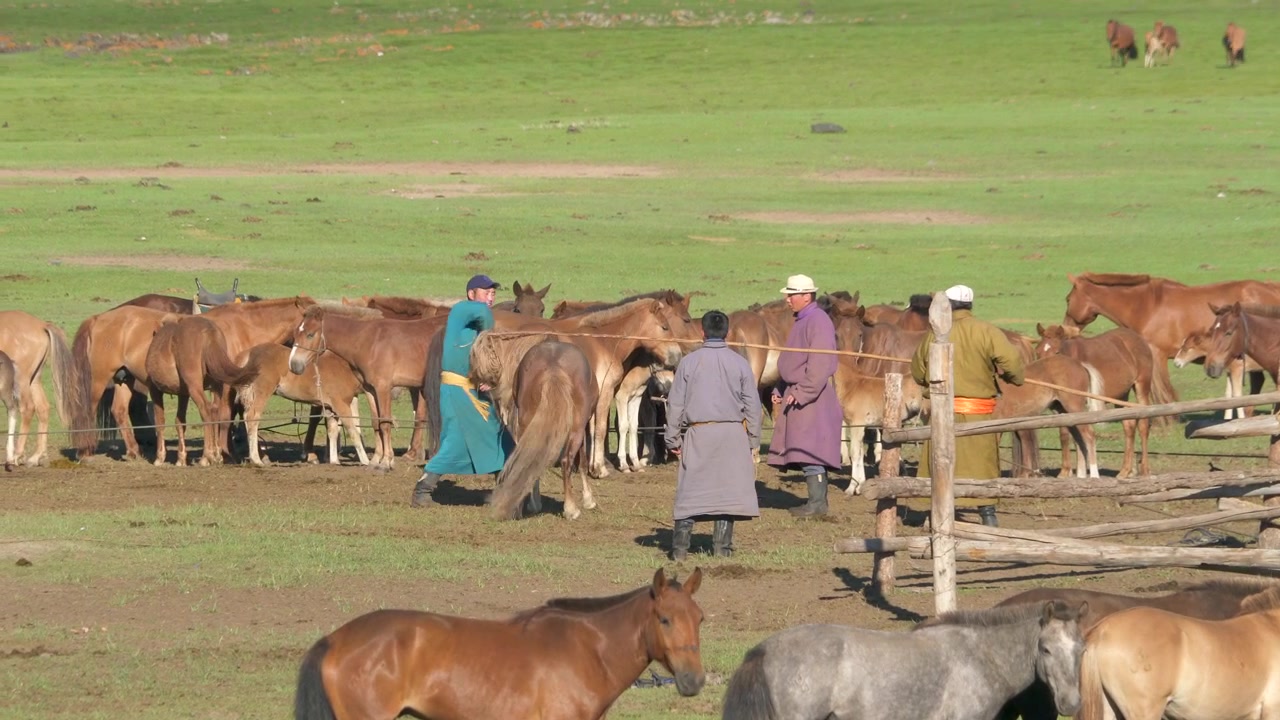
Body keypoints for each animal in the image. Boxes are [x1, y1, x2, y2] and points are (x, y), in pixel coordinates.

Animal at [0, 311, 78, 466]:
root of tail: (42, 325)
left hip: (21, 379)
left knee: (27, 408)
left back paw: (17, 455)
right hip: (34, 380)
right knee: (43, 408)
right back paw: (37, 456)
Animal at [233, 342, 372, 466]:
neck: (344, 368)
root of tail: (249, 353)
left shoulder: (330, 408)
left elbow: (332, 431)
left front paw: (334, 461)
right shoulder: (341, 405)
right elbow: (353, 431)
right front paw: (366, 461)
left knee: (246, 417)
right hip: (262, 392)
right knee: (252, 417)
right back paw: (256, 460)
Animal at [289, 304, 445, 469]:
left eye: (310, 335)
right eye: (295, 333)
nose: (293, 365)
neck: (369, 343)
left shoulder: (383, 387)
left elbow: (385, 422)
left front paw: (386, 461)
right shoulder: (371, 389)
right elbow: (376, 422)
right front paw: (376, 460)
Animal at [471, 335, 598, 520]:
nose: (480, 381)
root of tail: (553, 366)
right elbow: (581, 462)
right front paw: (589, 500)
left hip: (529, 425)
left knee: (531, 459)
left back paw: (531, 505)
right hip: (577, 428)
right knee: (566, 460)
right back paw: (570, 509)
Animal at [1035, 323, 1157, 477]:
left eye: (1057, 352)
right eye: (1038, 352)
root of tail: (1139, 339)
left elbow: (1078, 437)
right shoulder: (1061, 408)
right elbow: (1064, 434)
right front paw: (1065, 471)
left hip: (1141, 389)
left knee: (1143, 425)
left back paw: (1145, 470)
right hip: (1121, 396)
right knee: (1129, 426)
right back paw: (1125, 471)